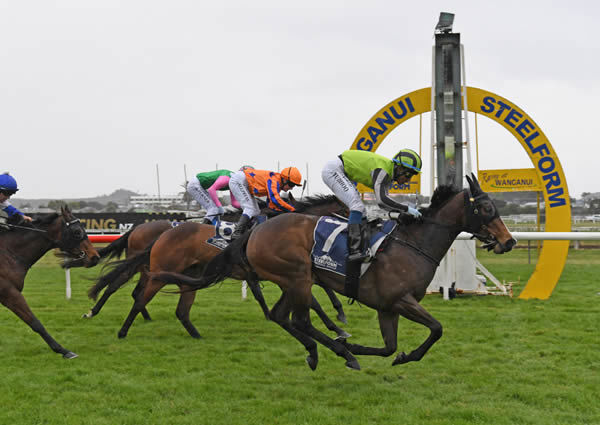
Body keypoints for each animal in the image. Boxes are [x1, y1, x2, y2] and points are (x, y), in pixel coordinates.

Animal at [0, 205, 99, 358]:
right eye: (77, 232)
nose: (95, 257)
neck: (8, 253)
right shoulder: (9, 293)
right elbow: (35, 323)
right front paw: (63, 350)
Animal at [89, 195, 350, 338]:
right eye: (347, 210)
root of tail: (140, 229)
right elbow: (315, 299)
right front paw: (337, 324)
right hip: (151, 268)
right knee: (121, 286)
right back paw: (98, 314)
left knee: (135, 291)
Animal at [150, 174, 516, 370]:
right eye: (486, 207)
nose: (509, 241)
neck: (412, 244)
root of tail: (255, 230)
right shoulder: (401, 300)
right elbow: (437, 329)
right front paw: (385, 353)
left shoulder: (387, 307)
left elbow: (388, 347)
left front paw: (382, 352)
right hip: (297, 277)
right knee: (298, 319)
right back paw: (336, 350)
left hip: (291, 282)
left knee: (282, 317)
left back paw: (321, 351)